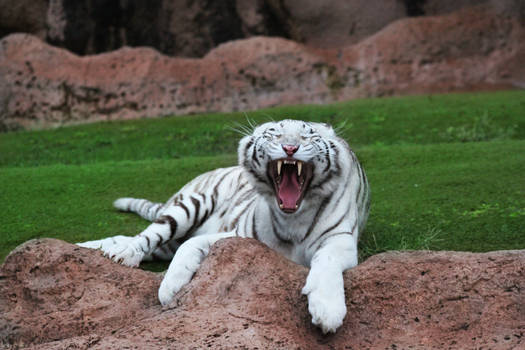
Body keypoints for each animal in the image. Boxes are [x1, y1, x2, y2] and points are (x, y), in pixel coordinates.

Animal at [80, 119, 370, 334]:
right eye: (275, 134)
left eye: (308, 136)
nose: (289, 148)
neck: (292, 218)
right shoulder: (237, 235)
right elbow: (189, 247)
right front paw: (170, 289)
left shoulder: (341, 242)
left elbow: (326, 261)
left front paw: (328, 311)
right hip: (190, 205)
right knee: (146, 235)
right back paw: (118, 253)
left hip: (169, 240)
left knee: (129, 238)